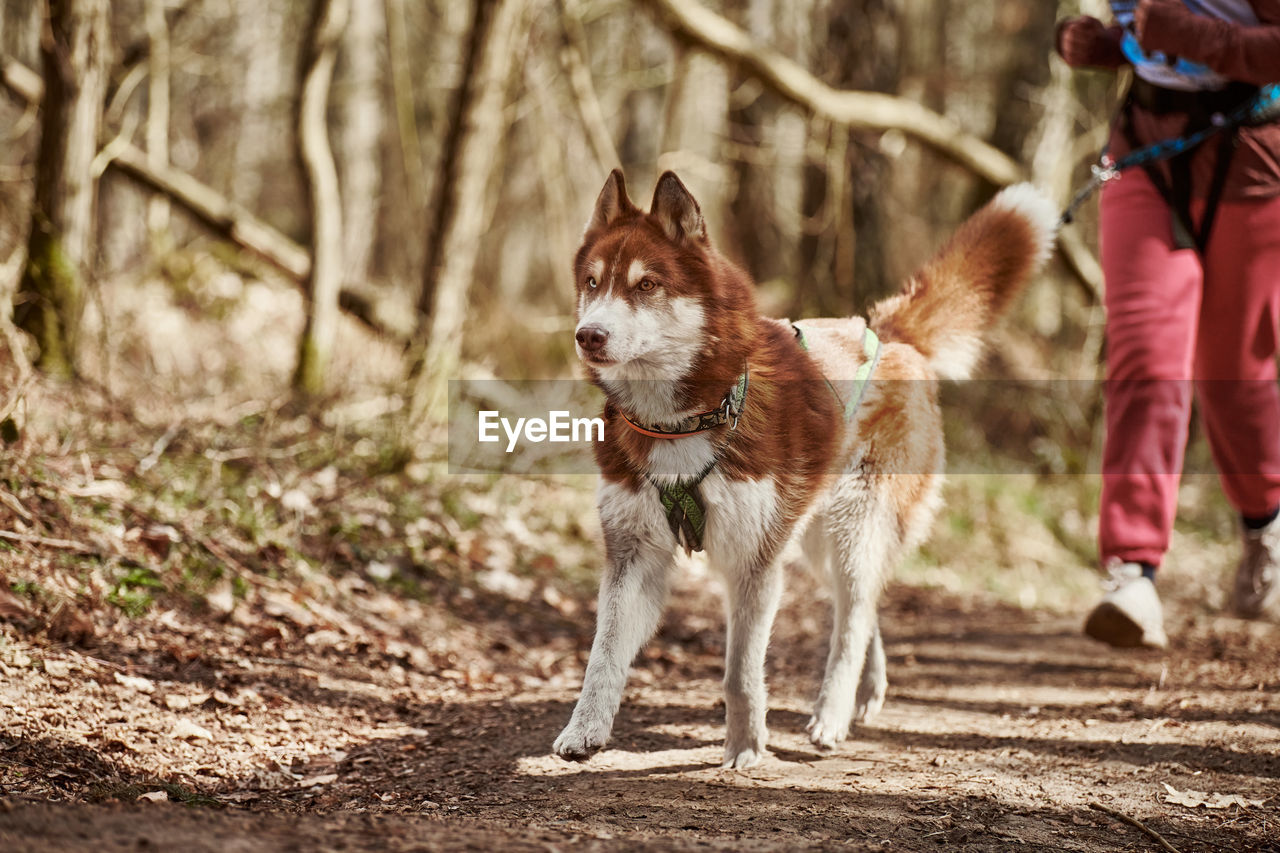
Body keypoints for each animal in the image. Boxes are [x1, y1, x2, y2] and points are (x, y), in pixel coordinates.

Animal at [555, 169, 1054, 768]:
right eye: (592, 282)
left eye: (646, 285)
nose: (589, 335)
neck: (686, 420)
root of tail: (890, 334)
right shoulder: (633, 553)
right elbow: (602, 658)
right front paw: (584, 731)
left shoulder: (754, 562)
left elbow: (740, 674)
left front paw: (745, 746)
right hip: (818, 540)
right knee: (862, 609)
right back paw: (867, 692)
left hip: (851, 529)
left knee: (853, 620)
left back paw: (833, 714)